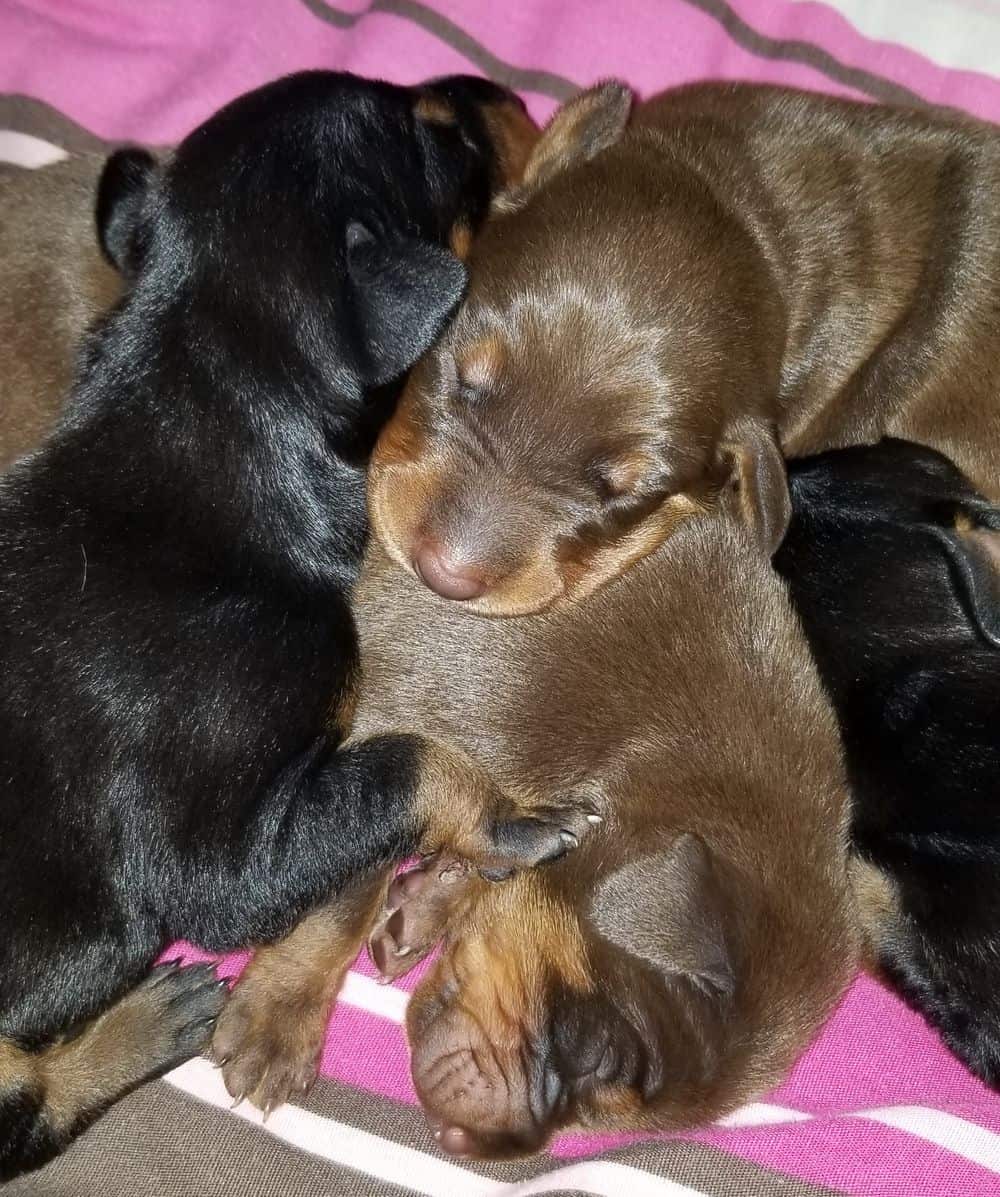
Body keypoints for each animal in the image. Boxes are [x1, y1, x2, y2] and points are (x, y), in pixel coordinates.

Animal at [215, 502, 857, 1149]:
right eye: (602, 1055)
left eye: (599, 1119)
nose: (462, 1143)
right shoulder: (389, 714)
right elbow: (344, 892)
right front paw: (279, 1020)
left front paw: (433, 898)